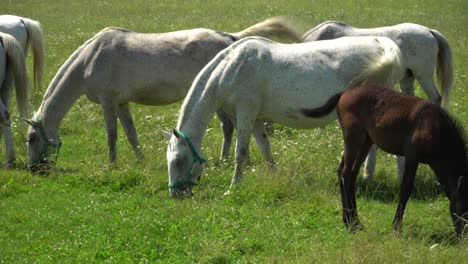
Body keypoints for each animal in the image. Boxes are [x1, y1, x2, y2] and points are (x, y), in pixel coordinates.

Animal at [23, 17, 300, 172]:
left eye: (30, 138)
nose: (34, 169)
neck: (90, 59)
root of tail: (229, 38)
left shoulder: (107, 102)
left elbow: (111, 135)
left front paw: (112, 165)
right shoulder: (122, 103)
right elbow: (130, 133)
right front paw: (140, 160)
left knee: (228, 127)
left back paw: (224, 160)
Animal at [165, 35, 406, 197]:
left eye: (178, 160)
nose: (176, 195)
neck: (231, 68)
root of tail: (382, 43)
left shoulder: (245, 114)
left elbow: (240, 153)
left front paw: (233, 188)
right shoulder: (255, 120)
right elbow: (265, 148)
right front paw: (274, 176)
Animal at [302, 85, 466, 237]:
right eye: (465, 209)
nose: (463, 236)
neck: (437, 129)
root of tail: (344, 93)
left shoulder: (435, 164)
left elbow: (445, 188)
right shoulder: (412, 156)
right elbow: (406, 188)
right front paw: (397, 227)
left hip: (366, 141)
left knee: (349, 173)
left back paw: (355, 222)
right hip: (353, 136)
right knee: (345, 173)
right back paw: (351, 224)